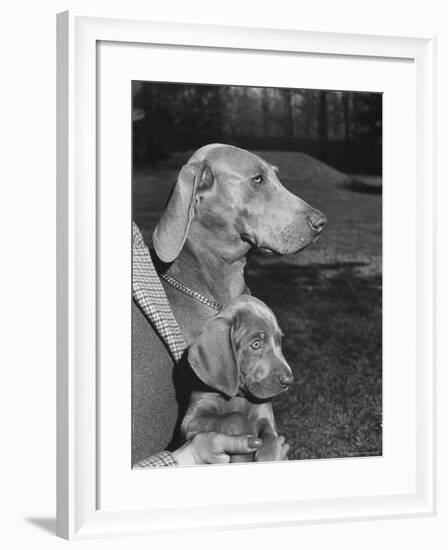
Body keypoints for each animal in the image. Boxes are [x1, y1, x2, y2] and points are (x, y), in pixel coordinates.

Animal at [182, 296, 294, 464]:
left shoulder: (266, 416)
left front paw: (268, 455)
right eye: (256, 344)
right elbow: (235, 417)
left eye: (279, 341)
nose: (289, 380)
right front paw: (249, 437)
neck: (238, 396)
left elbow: (271, 439)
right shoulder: (191, 420)